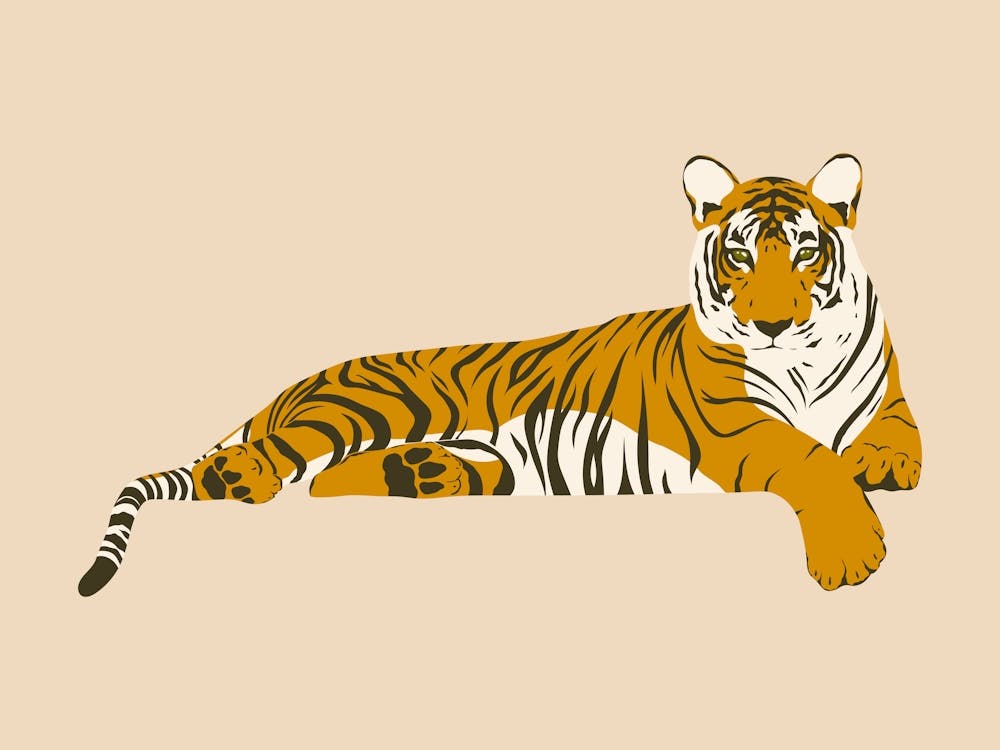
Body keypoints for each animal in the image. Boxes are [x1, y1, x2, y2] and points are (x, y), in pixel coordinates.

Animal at [78, 154, 921, 596]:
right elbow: (806, 458)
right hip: (366, 406)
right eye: (740, 254)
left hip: (490, 458)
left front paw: (880, 465)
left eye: (805, 252)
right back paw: (240, 476)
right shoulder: (732, 427)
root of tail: (293, 386)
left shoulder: (892, 400)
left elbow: (897, 440)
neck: (800, 361)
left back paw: (417, 475)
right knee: (285, 463)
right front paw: (850, 551)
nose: (772, 323)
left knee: (332, 484)